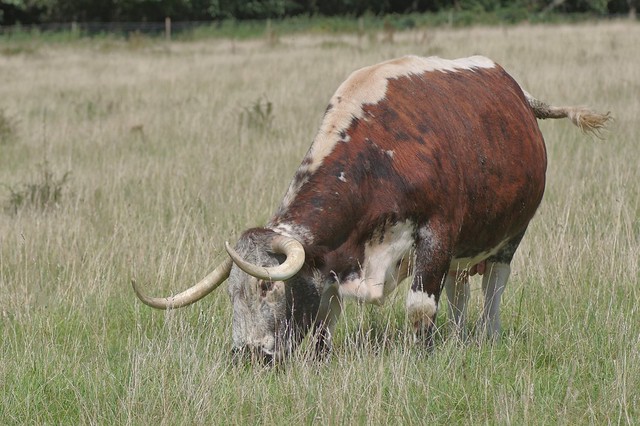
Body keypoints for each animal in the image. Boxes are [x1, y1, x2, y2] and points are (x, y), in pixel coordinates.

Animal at [131, 54, 608, 362]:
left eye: (267, 288)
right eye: (233, 292)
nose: (246, 355)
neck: (379, 157)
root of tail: (517, 91)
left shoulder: (436, 235)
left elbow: (420, 309)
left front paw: (422, 359)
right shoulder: (334, 260)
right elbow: (325, 317)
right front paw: (320, 358)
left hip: (509, 237)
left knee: (493, 288)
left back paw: (486, 336)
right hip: (463, 250)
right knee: (460, 292)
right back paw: (459, 338)